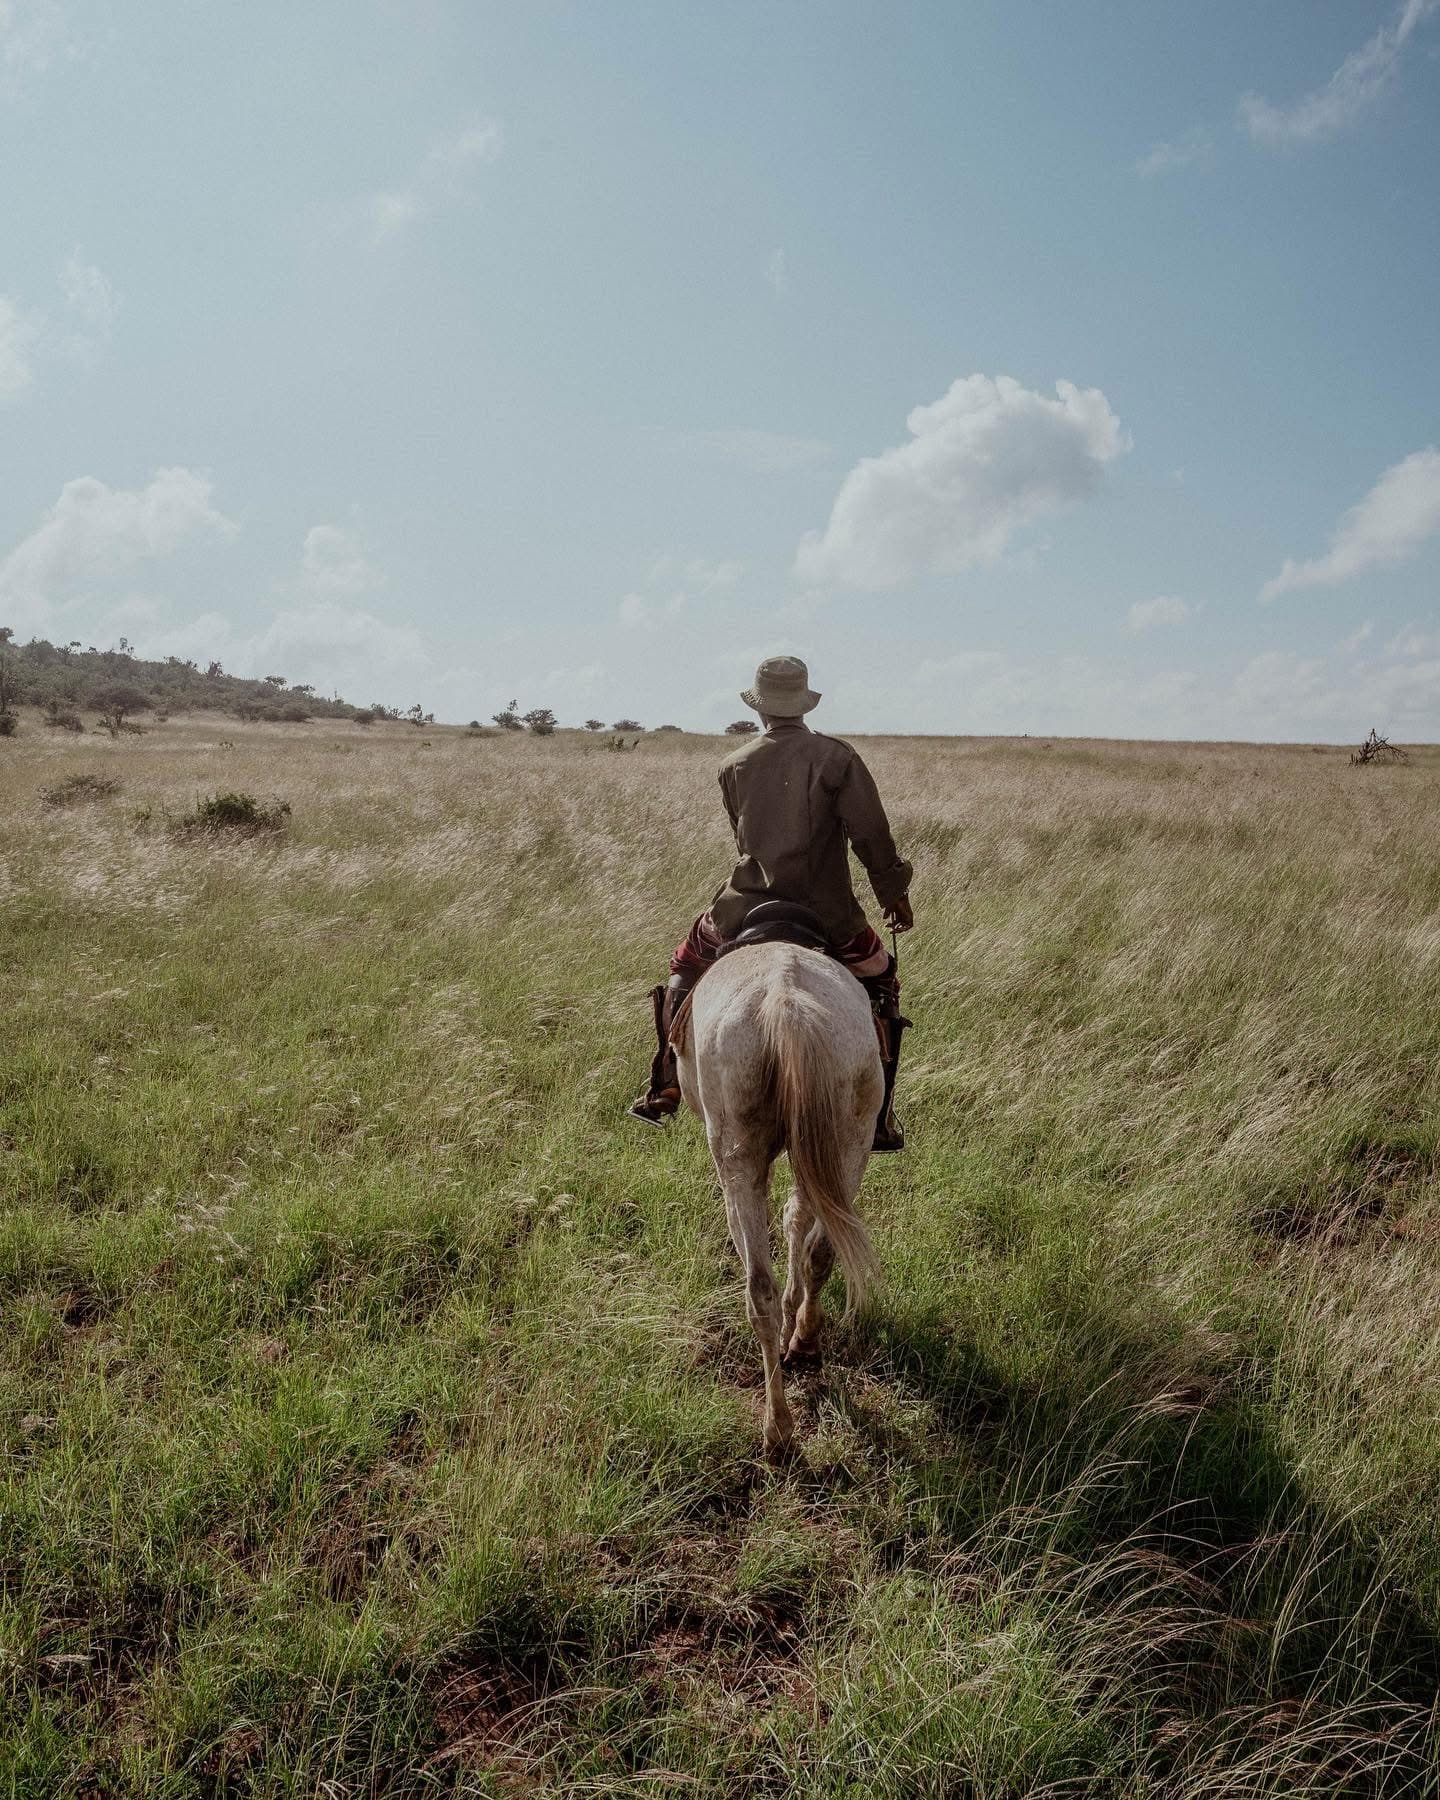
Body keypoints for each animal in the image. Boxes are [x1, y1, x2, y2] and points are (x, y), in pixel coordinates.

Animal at [674, 941, 882, 1457]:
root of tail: (784, 1000)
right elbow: (798, 1224)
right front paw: (797, 1324)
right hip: (851, 1142)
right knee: (821, 1249)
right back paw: (803, 1341)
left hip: (739, 1160)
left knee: (758, 1289)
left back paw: (778, 1428)